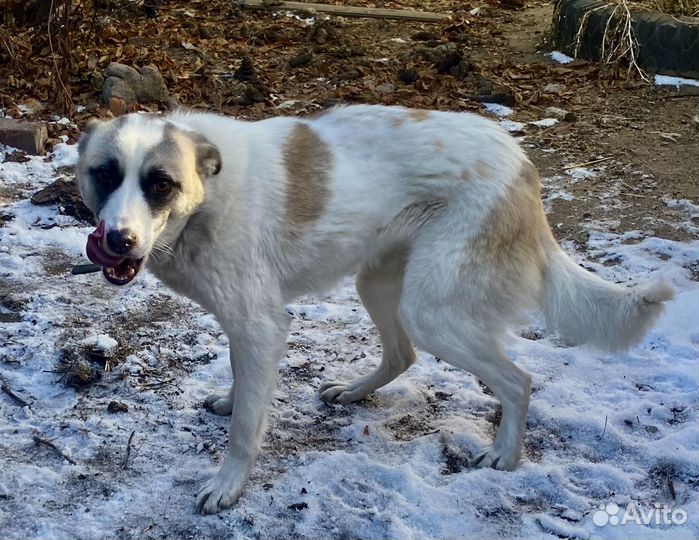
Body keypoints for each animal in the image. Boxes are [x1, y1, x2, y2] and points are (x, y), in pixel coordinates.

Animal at [76, 105, 672, 516]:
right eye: (105, 174)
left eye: (160, 184)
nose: (118, 240)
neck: (206, 198)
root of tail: (520, 163)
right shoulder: (243, 324)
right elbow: (244, 387)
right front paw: (231, 399)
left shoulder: (261, 325)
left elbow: (246, 428)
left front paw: (228, 485)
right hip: (378, 284)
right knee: (402, 356)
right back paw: (353, 392)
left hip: (433, 313)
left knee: (518, 381)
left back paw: (504, 455)